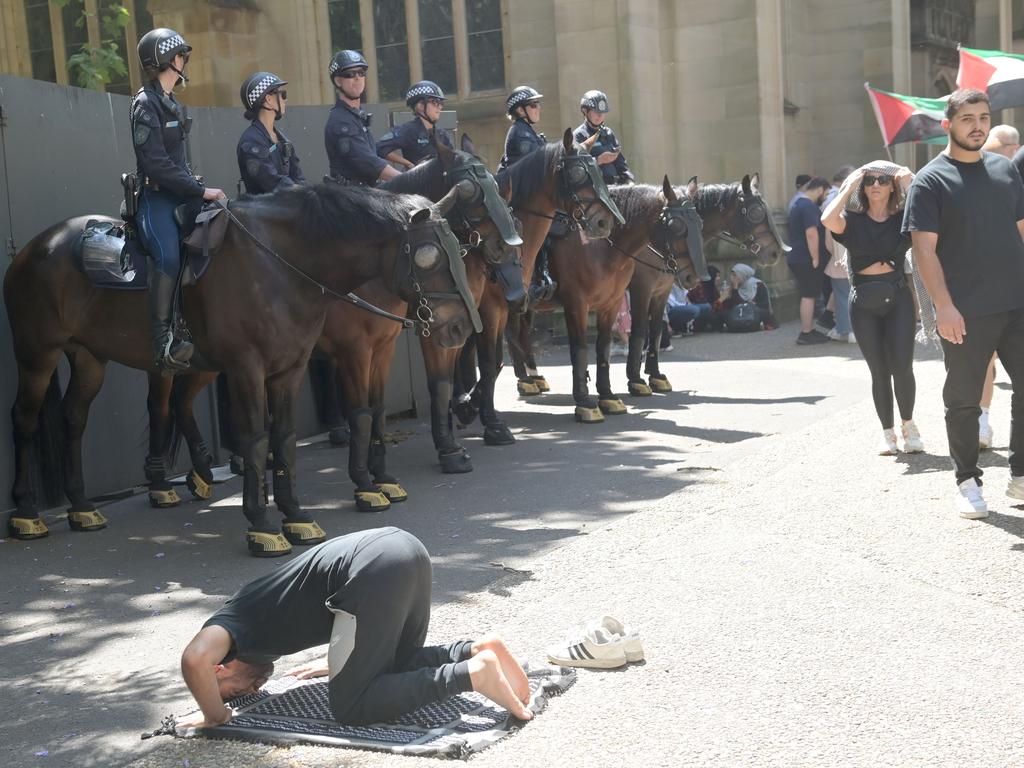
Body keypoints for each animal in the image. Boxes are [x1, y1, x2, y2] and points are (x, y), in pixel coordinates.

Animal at [4, 183, 477, 557]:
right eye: (431, 255)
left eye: (460, 250)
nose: (460, 326)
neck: (281, 264)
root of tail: (32, 248)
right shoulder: (270, 364)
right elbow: (262, 437)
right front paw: (266, 524)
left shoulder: (301, 366)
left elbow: (291, 436)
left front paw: (298, 514)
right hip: (38, 355)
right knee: (27, 420)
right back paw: (28, 513)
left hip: (91, 358)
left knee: (80, 418)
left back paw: (85, 505)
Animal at [503, 177, 704, 421]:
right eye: (676, 226)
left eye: (699, 223)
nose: (693, 277)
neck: (602, 246)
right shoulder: (581, 303)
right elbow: (581, 348)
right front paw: (585, 402)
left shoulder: (615, 302)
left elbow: (606, 346)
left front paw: (608, 396)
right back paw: (525, 380)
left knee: (521, 333)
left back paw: (533, 377)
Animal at [618, 174, 786, 393]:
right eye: (756, 212)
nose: (775, 253)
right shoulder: (642, 288)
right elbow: (639, 330)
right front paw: (635, 379)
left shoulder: (661, 290)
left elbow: (655, 330)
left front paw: (655, 376)